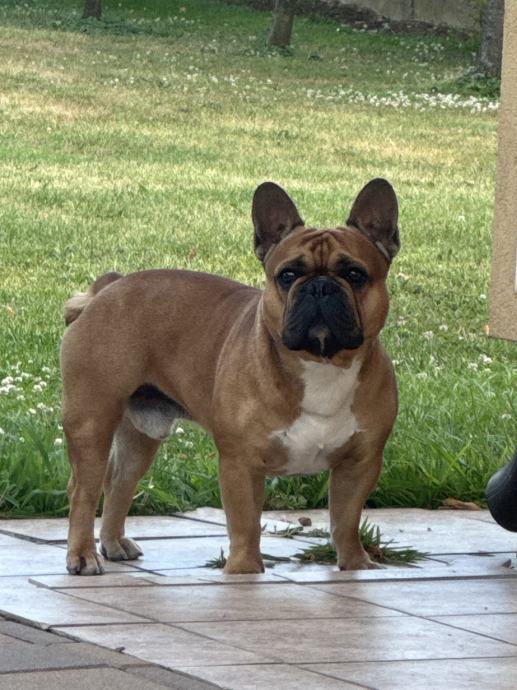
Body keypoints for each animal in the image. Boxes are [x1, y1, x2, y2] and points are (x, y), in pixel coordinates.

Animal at [61, 178, 399, 575]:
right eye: (287, 275)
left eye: (355, 274)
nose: (319, 286)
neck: (321, 364)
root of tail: (107, 289)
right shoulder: (240, 462)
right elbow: (246, 523)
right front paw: (244, 572)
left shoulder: (359, 463)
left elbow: (345, 520)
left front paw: (356, 566)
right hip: (92, 420)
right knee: (83, 491)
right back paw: (83, 556)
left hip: (141, 433)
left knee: (119, 481)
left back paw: (113, 544)